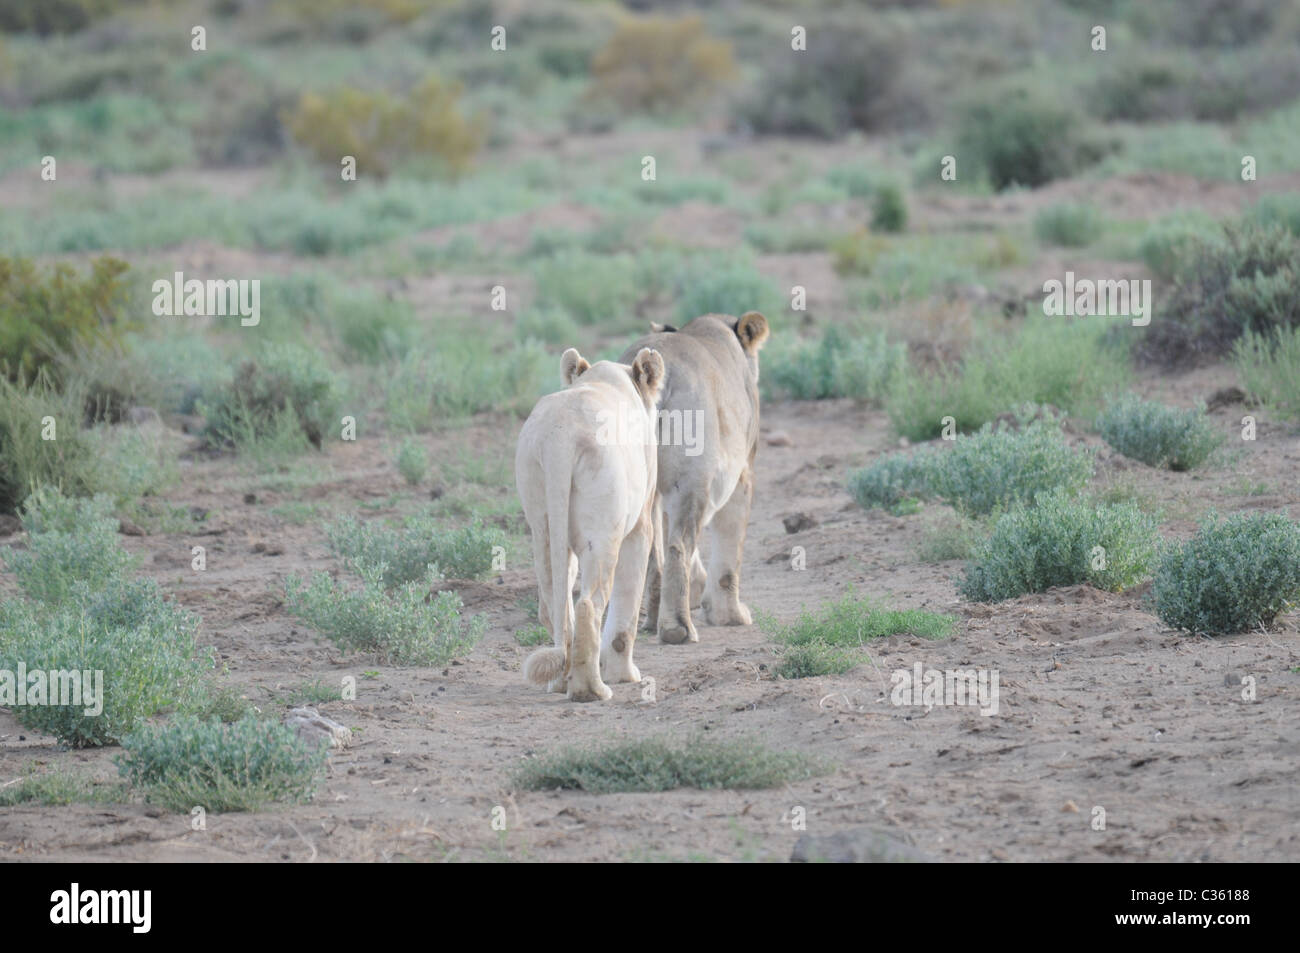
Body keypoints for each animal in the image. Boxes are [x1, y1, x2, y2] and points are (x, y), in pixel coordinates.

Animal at [514, 345, 665, 696]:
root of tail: (559, 435)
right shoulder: (641, 525)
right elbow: (627, 601)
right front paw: (624, 675)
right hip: (603, 529)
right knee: (589, 605)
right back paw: (592, 690)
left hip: (541, 519)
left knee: (554, 603)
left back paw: (559, 683)